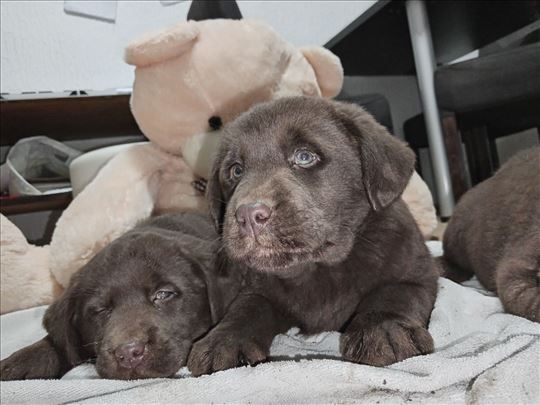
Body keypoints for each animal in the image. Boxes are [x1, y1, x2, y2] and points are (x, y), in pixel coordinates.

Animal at [186, 95, 438, 376]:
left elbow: (395, 293)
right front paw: (222, 341)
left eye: (304, 156)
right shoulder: (258, 288)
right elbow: (246, 308)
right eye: (236, 171)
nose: (249, 215)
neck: (316, 267)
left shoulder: (417, 271)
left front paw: (383, 330)